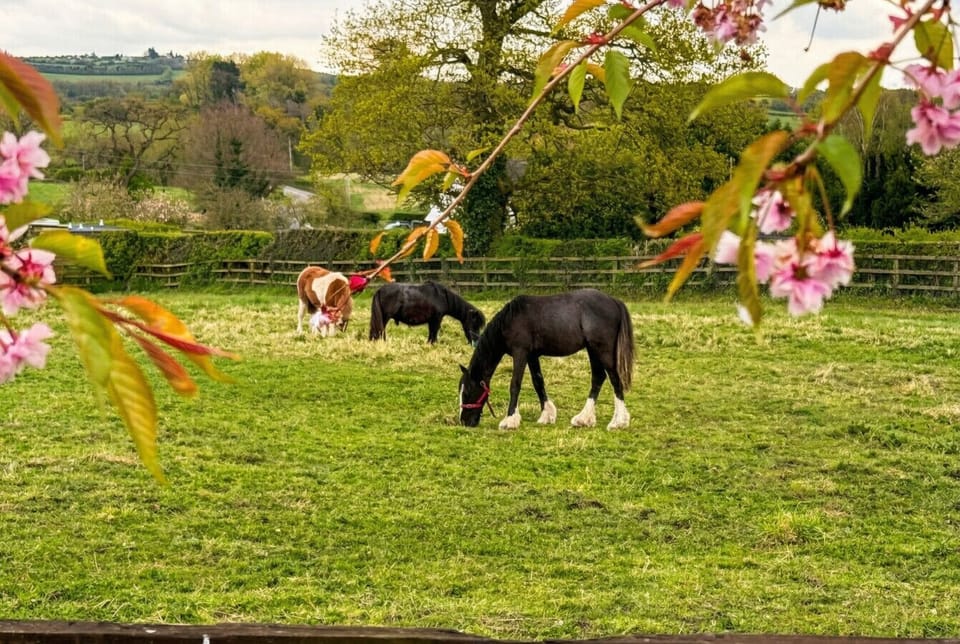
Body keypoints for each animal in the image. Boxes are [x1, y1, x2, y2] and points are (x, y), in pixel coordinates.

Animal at [458, 288, 634, 430]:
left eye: (466, 392)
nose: (464, 422)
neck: (510, 320)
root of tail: (614, 301)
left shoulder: (520, 353)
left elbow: (515, 384)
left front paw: (510, 420)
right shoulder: (532, 356)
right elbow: (538, 382)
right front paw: (547, 415)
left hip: (603, 350)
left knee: (614, 379)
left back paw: (618, 422)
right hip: (592, 349)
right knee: (598, 378)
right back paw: (584, 419)